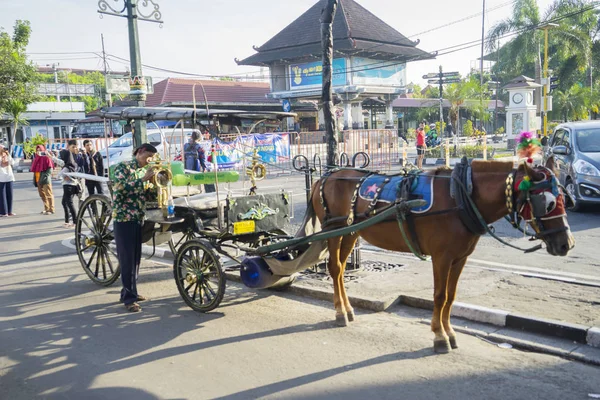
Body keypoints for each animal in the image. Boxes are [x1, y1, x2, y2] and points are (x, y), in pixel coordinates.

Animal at [312, 159, 576, 354]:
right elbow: (439, 296)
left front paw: (449, 332)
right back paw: (339, 312)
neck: (460, 196)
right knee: (335, 268)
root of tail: (325, 177)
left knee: (341, 268)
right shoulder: (441, 257)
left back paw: (347, 309)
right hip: (333, 230)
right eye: (547, 202)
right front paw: (439, 336)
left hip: (350, 232)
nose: (567, 244)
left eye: (565, 200)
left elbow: (451, 296)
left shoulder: (460, 258)